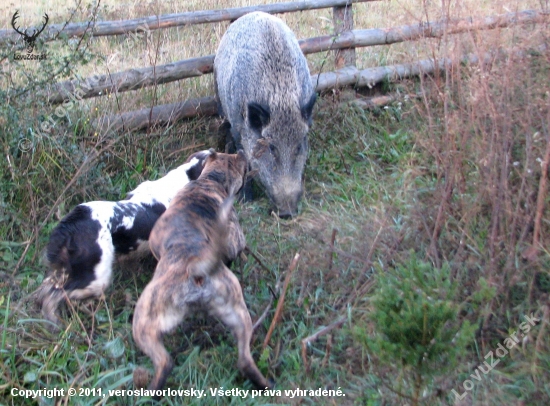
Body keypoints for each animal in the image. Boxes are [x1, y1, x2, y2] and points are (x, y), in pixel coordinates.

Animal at [36, 149, 213, 326]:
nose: (213, 149)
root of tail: (70, 225)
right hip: (96, 278)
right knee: (54, 295)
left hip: (65, 270)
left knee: (44, 289)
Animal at [134, 150, 272, 394]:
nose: (241, 152)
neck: (211, 180)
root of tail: (195, 271)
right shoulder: (236, 238)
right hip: (237, 311)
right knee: (244, 359)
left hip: (144, 322)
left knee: (165, 362)